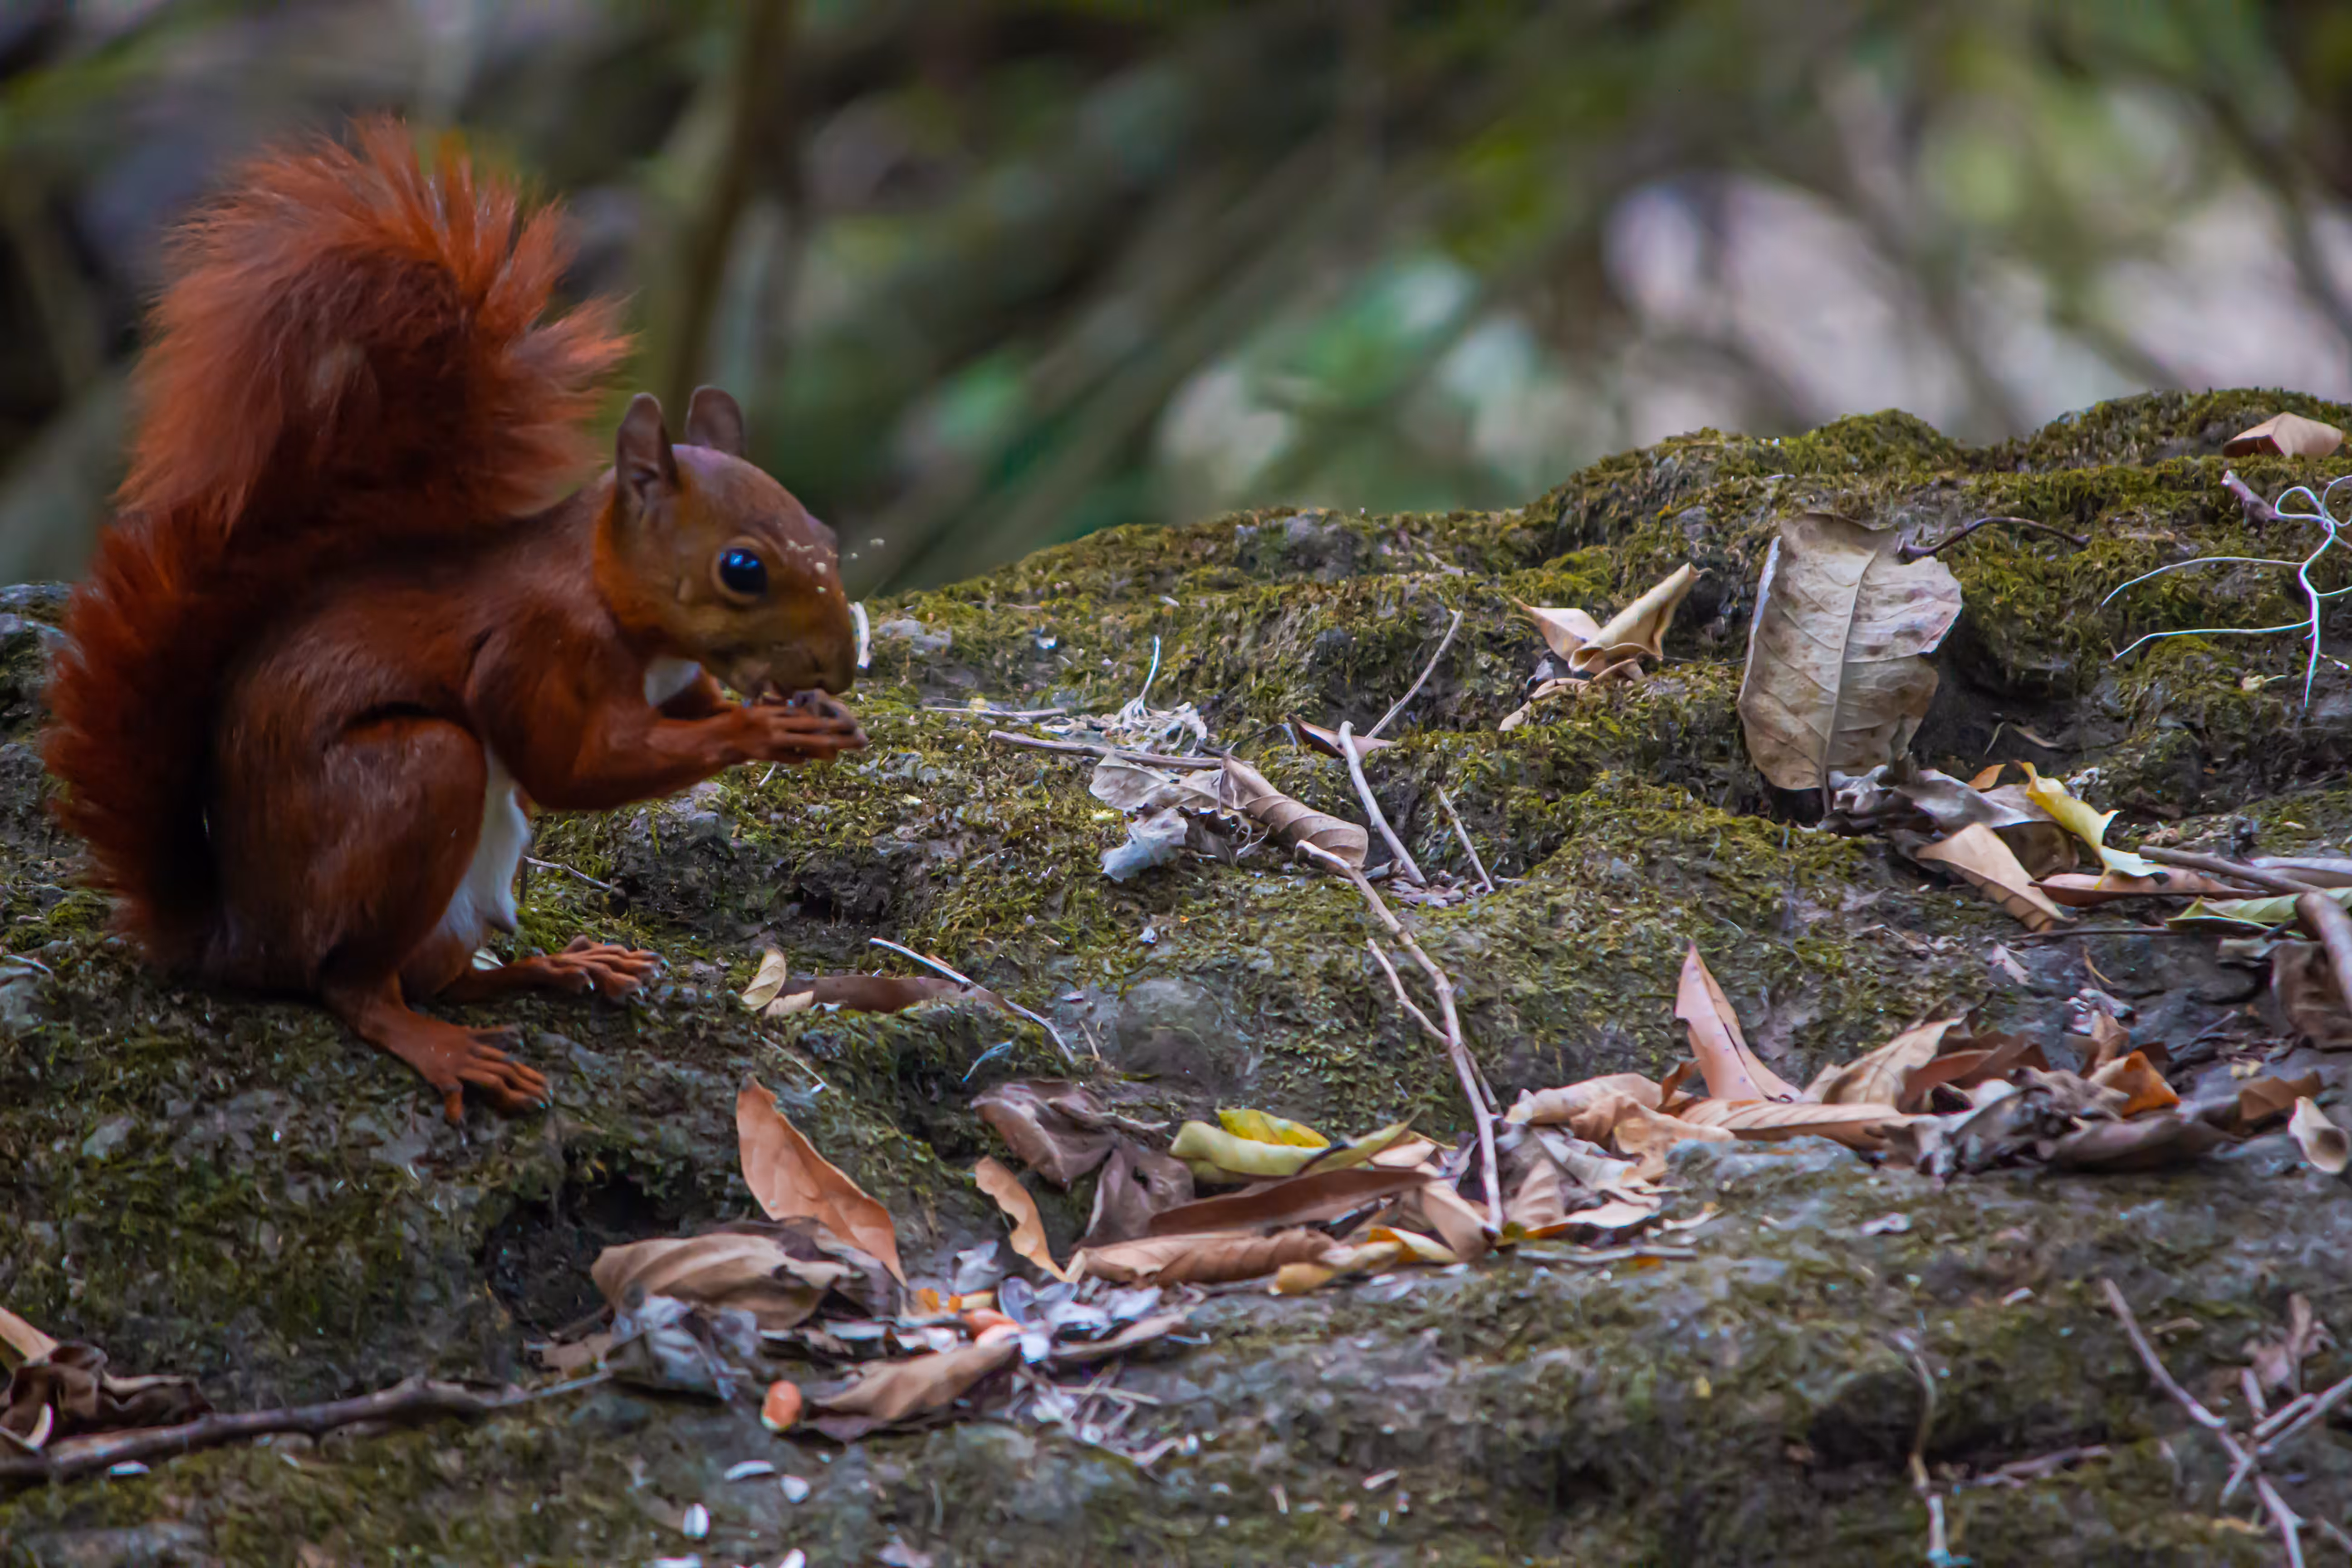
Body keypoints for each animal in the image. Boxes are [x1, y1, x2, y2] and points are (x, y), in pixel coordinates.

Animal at [41, 119, 868, 1122]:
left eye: (826, 534)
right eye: (741, 569)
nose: (840, 664)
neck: (613, 599)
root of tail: (236, 939)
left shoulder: (671, 683)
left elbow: (680, 717)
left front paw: (813, 716)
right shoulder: (533, 645)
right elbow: (575, 767)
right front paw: (769, 729)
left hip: (468, 886)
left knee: (439, 977)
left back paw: (556, 969)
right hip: (416, 782)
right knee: (353, 986)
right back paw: (439, 1046)